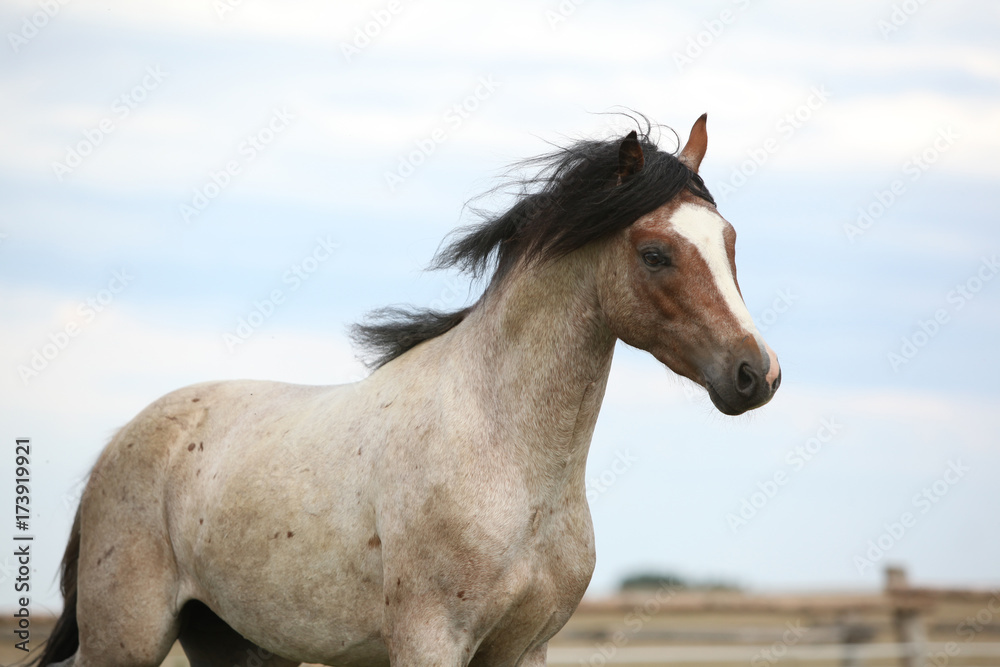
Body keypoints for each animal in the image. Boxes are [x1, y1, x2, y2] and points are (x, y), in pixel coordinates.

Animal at [33, 114, 780, 667]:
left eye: (728, 242)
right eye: (656, 254)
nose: (757, 374)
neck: (510, 461)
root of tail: (118, 446)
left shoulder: (523, 648)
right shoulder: (430, 639)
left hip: (238, 644)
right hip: (126, 640)